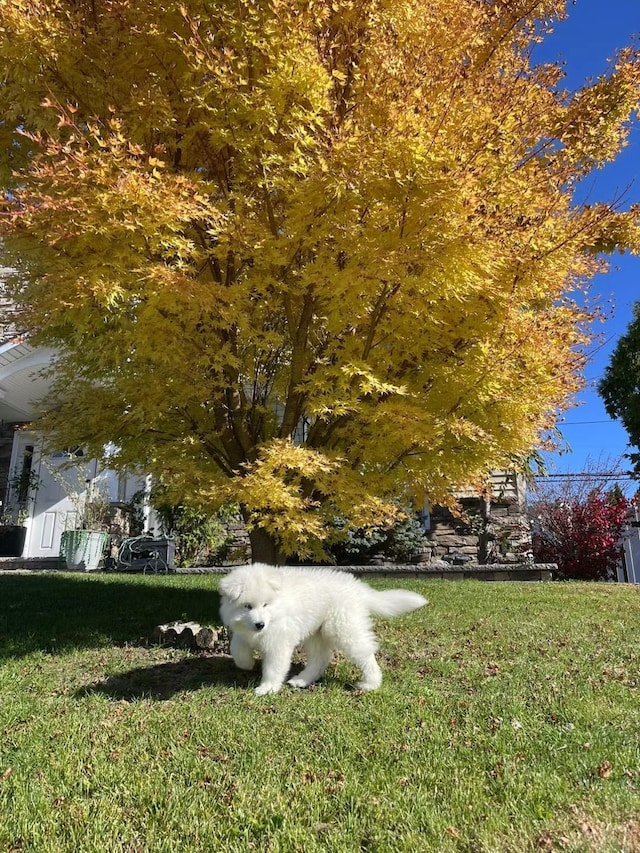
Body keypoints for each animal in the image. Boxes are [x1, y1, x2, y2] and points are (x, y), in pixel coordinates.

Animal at [218, 564, 428, 696]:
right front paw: (246, 663)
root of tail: (358, 588)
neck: (275, 611)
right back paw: (301, 680)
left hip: (344, 628)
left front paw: (267, 688)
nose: (260, 624)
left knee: (365, 654)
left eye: (265, 604)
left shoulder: (279, 643)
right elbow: (237, 648)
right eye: (247, 606)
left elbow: (273, 667)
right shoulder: (243, 632)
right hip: (315, 633)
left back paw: (371, 683)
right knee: (320, 659)